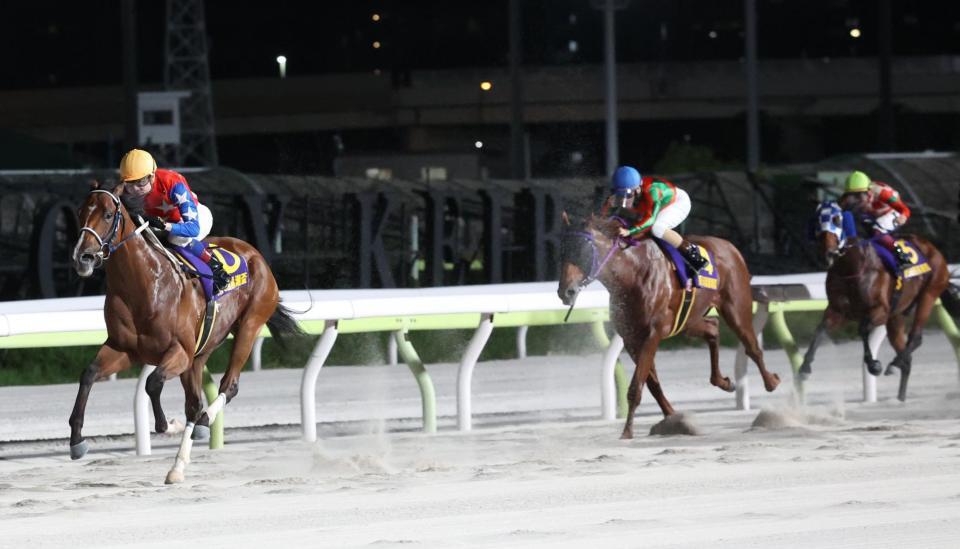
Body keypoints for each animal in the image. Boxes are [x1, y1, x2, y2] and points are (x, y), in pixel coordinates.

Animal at [70, 182, 302, 482]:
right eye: (80, 212)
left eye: (109, 214)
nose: (83, 257)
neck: (144, 285)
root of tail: (255, 254)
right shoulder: (124, 349)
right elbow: (88, 375)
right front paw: (76, 441)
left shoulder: (179, 351)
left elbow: (152, 383)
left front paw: (169, 425)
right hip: (201, 351)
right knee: (194, 402)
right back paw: (178, 466)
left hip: (249, 325)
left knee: (227, 386)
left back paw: (203, 423)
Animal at [556, 214, 780, 436]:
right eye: (563, 250)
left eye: (582, 250)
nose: (565, 291)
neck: (631, 274)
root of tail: (730, 246)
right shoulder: (631, 338)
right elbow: (652, 383)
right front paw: (672, 417)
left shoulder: (651, 335)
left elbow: (636, 387)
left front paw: (627, 432)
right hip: (688, 321)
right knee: (712, 327)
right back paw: (723, 381)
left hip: (736, 308)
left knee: (752, 347)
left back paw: (771, 382)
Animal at [800, 199, 956, 400]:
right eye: (817, 221)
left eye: (837, 219)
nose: (829, 253)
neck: (851, 267)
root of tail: (933, 249)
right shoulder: (837, 310)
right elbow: (820, 330)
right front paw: (804, 368)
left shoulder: (879, 310)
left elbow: (863, 328)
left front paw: (874, 365)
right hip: (896, 316)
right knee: (907, 357)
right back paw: (900, 396)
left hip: (929, 294)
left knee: (916, 338)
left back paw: (894, 365)